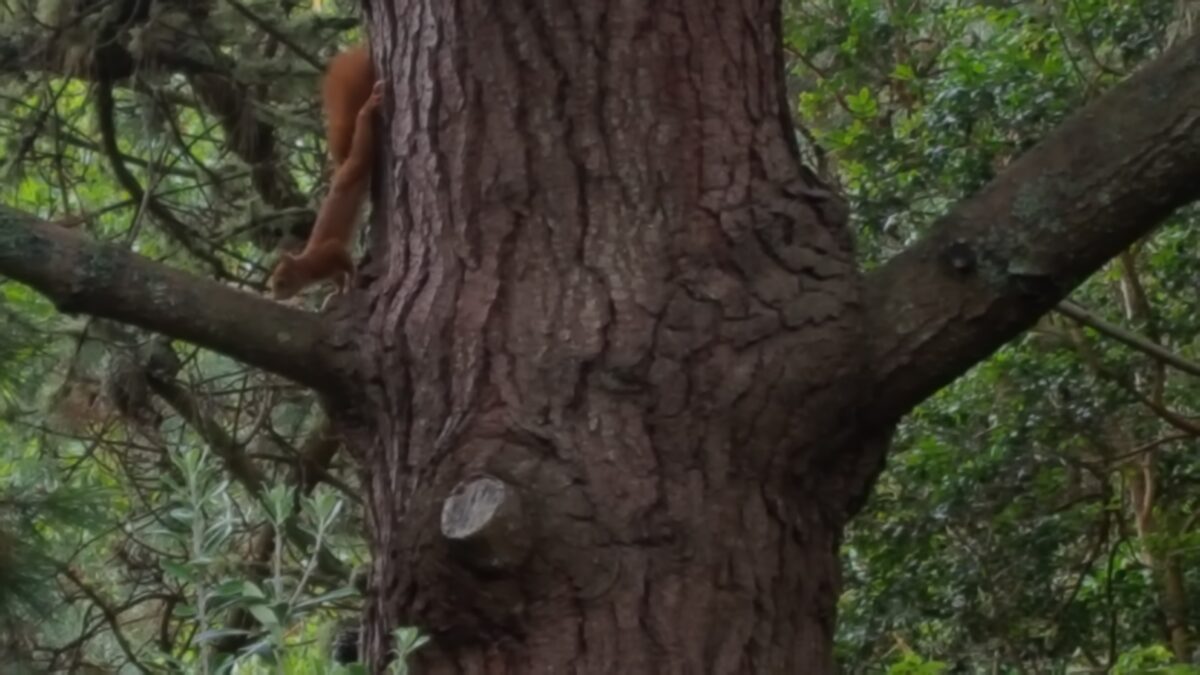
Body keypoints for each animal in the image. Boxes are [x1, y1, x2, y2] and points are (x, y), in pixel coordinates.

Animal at [268, 46, 382, 300]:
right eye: (272, 285)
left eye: (281, 282)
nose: (275, 297)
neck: (308, 266)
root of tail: (340, 170)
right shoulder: (330, 271)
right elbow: (338, 279)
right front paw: (335, 295)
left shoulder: (329, 253)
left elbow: (345, 262)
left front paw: (354, 280)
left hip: (357, 162)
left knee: (362, 136)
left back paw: (368, 107)